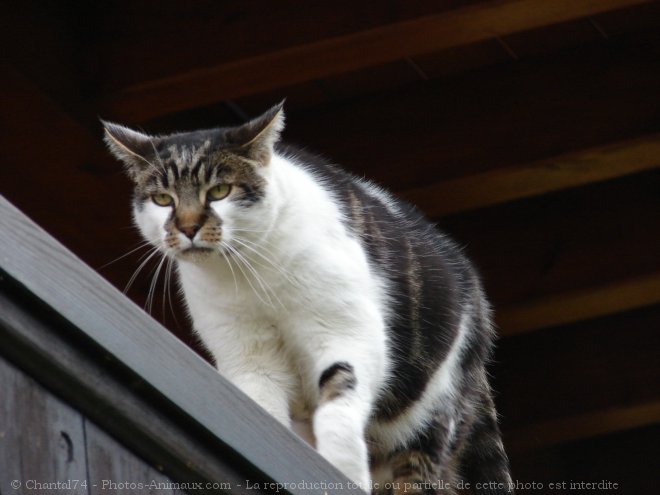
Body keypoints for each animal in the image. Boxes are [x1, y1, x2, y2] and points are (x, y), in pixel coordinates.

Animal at [104, 101, 516, 495]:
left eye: (220, 191)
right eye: (163, 199)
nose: (188, 227)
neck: (252, 274)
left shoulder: (346, 328)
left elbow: (339, 397)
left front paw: (343, 471)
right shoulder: (248, 355)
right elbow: (263, 409)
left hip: (432, 411)